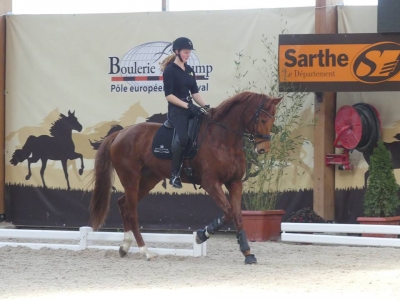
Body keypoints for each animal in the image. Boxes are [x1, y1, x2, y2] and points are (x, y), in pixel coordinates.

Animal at [88, 92, 282, 264]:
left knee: (123, 204)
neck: (223, 138)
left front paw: (248, 253)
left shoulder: (234, 183)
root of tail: (120, 134)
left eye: (272, 120)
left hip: (149, 179)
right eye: (263, 120)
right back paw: (146, 251)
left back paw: (125, 247)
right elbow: (228, 212)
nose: (263, 149)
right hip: (131, 177)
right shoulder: (210, 183)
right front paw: (201, 235)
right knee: (131, 211)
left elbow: (238, 215)